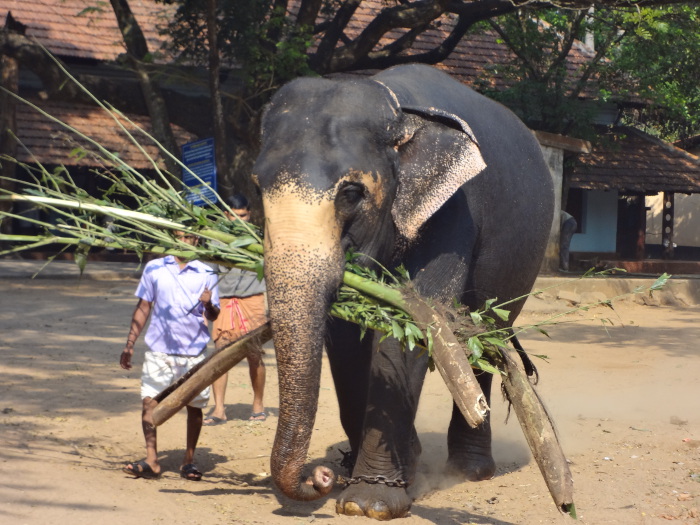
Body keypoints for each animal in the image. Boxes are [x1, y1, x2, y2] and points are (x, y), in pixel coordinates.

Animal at [254, 63, 556, 516]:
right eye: (258, 187)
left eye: (351, 192)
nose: (321, 477)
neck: (397, 108)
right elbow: (345, 340)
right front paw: (396, 468)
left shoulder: (452, 212)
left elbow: (408, 328)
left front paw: (368, 503)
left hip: (521, 268)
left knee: (482, 344)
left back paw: (471, 470)